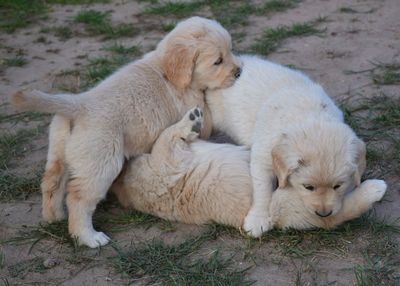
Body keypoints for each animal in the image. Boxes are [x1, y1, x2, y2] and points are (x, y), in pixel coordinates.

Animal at [10, 16, 241, 248]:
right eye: (218, 61)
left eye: (231, 50)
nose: (239, 71)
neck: (166, 70)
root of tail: (79, 105)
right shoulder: (195, 106)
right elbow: (206, 115)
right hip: (102, 162)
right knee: (78, 198)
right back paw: (88, 237)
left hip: (60, 152)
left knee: (51, 182)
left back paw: (54, 216)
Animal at [111, 107, 386, 230]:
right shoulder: (165, 163)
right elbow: (167, 136)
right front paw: (190, 121)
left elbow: (167, 136)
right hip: (292, 204)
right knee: (340, 210)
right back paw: (374, 188)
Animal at [206, 55, 388, 237]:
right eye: (308, 187)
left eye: (337, 186)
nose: (324, 213)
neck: (309, 116)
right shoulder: (262, 156)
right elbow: (262, 189)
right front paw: (258, 219)